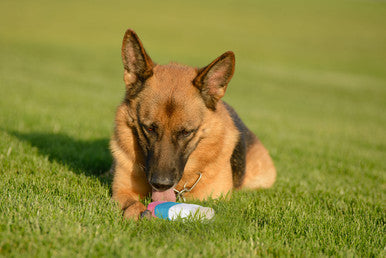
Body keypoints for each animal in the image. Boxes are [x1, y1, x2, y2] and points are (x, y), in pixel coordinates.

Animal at [110, 28, 276, 220]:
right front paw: (137, 212)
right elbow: (131, 205)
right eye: (149, 128)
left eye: (186, 132)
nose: (161, 184)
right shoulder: (121, 192)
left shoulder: (214, 199)